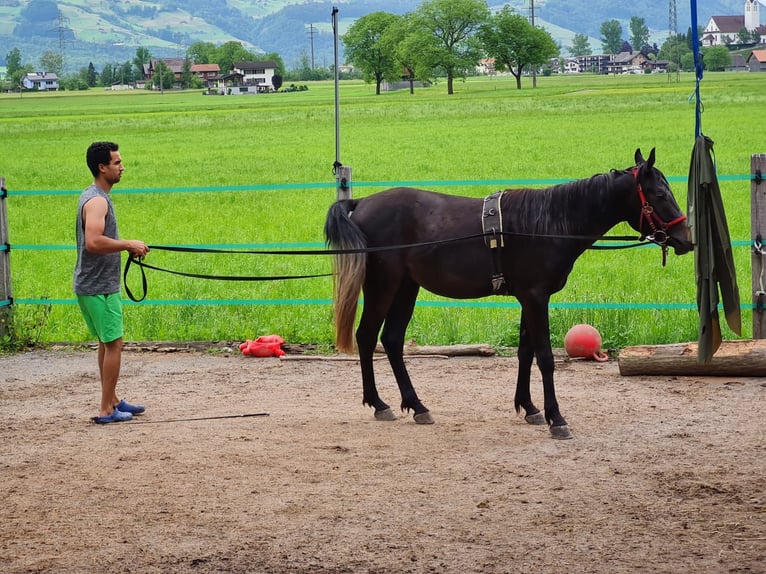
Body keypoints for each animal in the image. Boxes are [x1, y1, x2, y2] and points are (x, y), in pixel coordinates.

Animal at [320, 150, 692, 440]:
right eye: (660, 195)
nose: (686, 240)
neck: (548, 224)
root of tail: (361, 204)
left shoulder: (528, 299)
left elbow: (525, 353)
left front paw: (529, 408)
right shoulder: (536, 298)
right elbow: (544, 358)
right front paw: (557, 418)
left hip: (406, 288)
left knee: (393, 340)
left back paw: (417, 405)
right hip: (384, 285)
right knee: (367, 337)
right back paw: (379, 404)